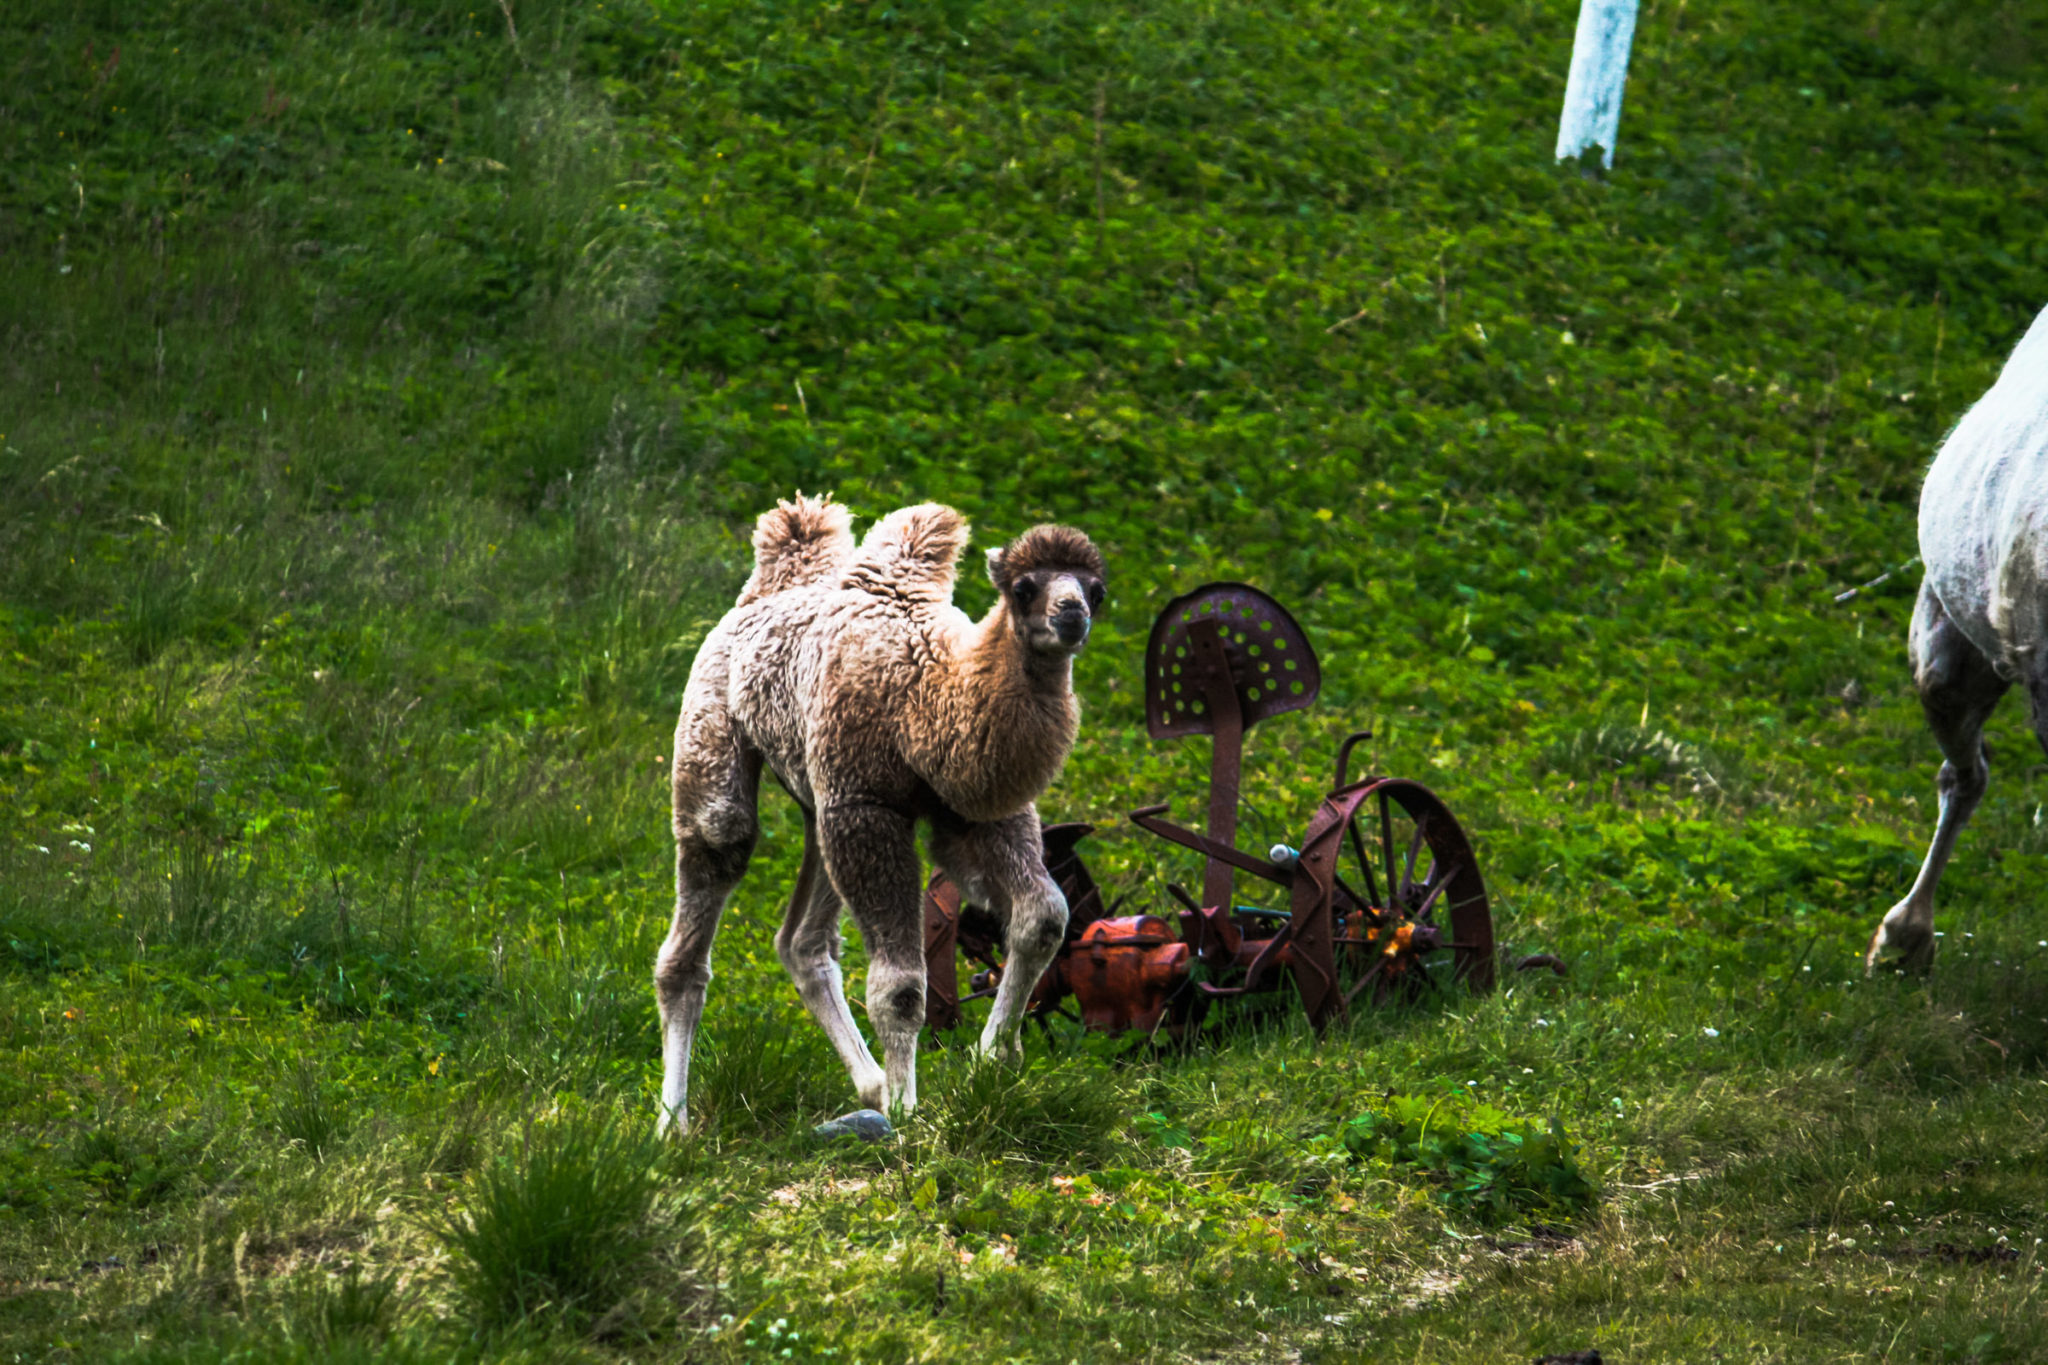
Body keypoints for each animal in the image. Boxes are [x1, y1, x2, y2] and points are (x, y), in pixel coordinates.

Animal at [656, 494, 1107, 1132]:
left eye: (1098, 590)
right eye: (1023, 587)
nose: (1071, 614)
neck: (929, 697)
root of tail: (762, 590)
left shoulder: (977, 811)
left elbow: (1042, 918)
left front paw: (994, 1059)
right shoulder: (869, 809)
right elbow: (902, 986)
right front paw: (907, 1111)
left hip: (818, 802)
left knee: (802, 943)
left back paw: (867, 1085)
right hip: (714, 734)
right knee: (711, 869)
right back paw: (673, 1123)